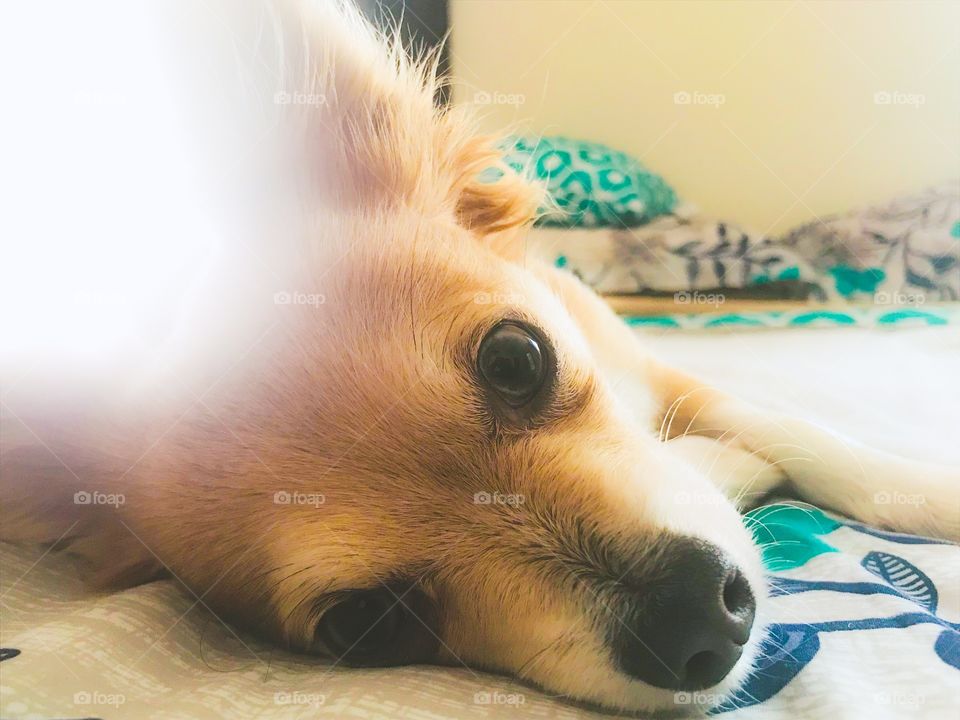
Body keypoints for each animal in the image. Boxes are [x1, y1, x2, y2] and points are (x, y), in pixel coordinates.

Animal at [0, 2, 956, 716]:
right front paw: (724, 467)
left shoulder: (649, 366)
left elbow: (806, 436)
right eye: (371, 626)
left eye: (516, 358)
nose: (694, 620)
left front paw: (925, 493)